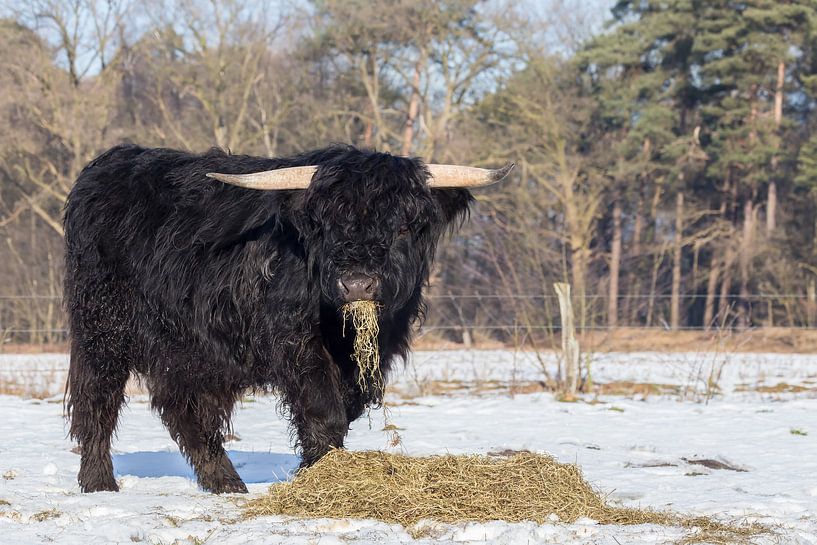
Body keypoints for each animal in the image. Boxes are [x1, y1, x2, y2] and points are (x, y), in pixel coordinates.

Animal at [64, 144, 512, 493]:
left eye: (403, 227)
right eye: (327, 226)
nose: (357, 283)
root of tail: (109, 163)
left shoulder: (375, 351)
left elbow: (345, 410)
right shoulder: (296, 343)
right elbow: (323, 411)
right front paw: (319, 477)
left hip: (191, 349)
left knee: (185, 408)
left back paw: (226, 483)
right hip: (102, 328)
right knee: (97, 399)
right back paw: (99, 482)